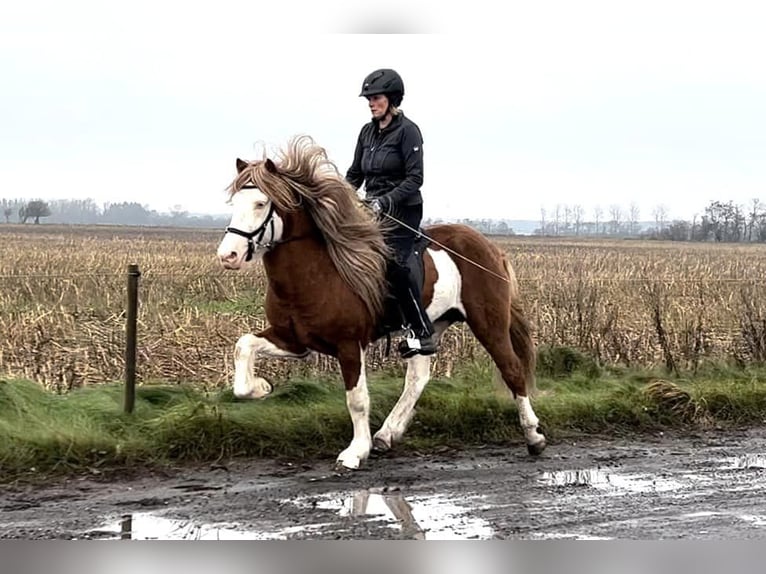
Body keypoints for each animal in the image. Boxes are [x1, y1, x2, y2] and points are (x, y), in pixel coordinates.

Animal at [216, 136, 544, 472]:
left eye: (261, 203)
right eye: (234, 203)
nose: (228, 255)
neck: (316, 274)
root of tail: (490, 247)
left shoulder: (349, 344)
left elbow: (357, 399)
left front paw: (355, 452)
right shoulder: (294, 340)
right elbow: (243, 346)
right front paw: (260, 387)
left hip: (488, 323)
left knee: (512, 369)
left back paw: (534, 436)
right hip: (429, 327)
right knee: (417, 378)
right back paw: (387, 434)